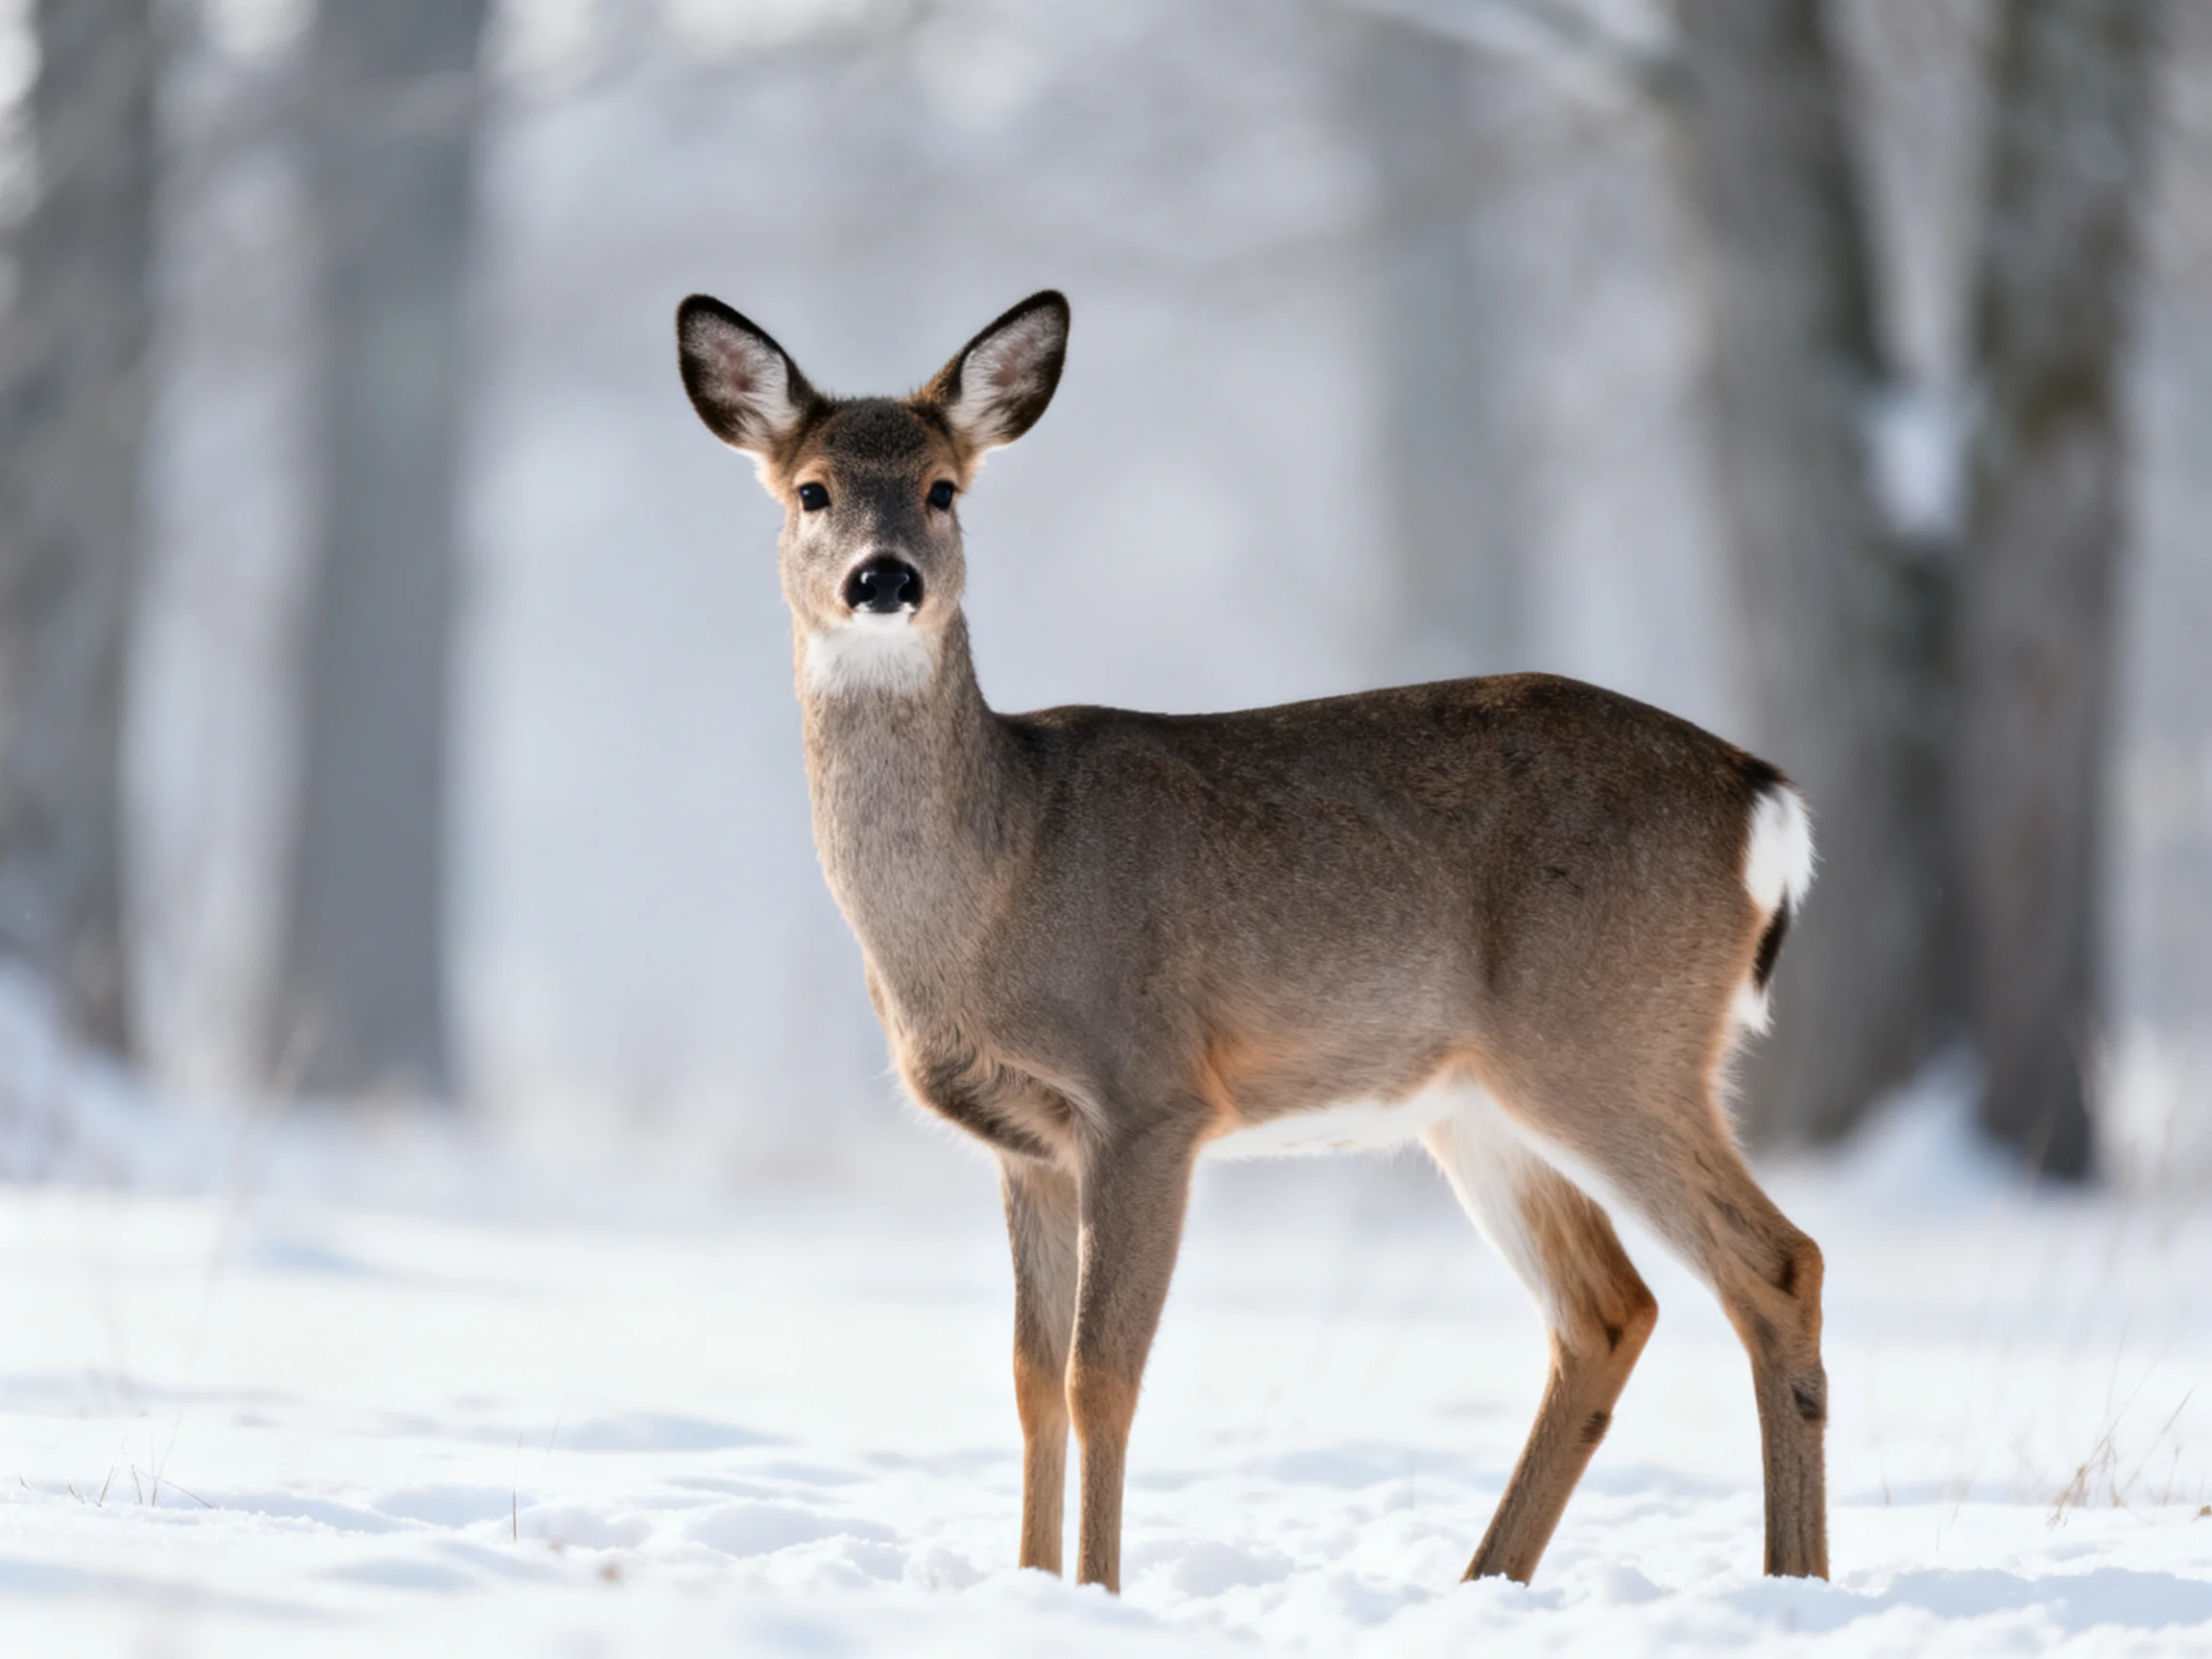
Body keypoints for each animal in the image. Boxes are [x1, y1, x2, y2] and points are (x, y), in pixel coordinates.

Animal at [674, 289, 1828, 1593]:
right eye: (812, 490)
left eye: (943, 488)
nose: (884, 579)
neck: (998, 883)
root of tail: (1762, 795)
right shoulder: (1026, 1144)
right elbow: (1029, 1382)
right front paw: (1031, 1586)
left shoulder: (1149, 1097)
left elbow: (1103, 1376)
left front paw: (1098, 1592)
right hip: (1482, 1103)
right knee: (1608, 1312)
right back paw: (1485, 1583)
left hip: (1614, 1041)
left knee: (1777, 1264)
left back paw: (1793, 1584)